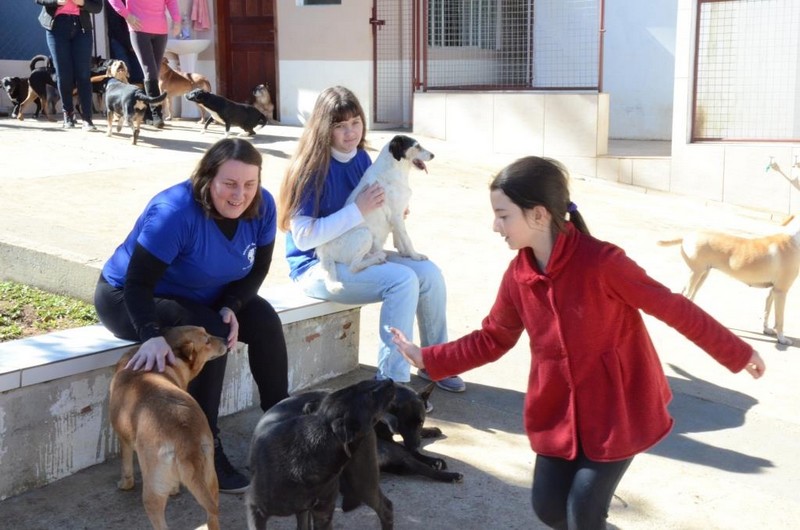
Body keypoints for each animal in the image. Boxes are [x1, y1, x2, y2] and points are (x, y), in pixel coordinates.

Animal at [108, 326, 228, 530]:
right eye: (206, 339)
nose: (226, 340)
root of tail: (186, 440)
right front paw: (174, 489)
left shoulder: (124, 440)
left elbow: (126, 466)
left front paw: (125, 484)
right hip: (211, 479)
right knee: (212, 515)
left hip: (152, 493)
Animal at [246, 379, 396, 530]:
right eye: (371, 395)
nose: (390, 380)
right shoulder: (255, 511)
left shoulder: (323, 514)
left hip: (362, 480)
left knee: (386, 508)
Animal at [316, 134, 434, 292]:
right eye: (417, 146)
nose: (433, 155)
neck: (395, 169)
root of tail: (323, 251)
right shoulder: (396, 215)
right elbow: (407, 239)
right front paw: (415, 256)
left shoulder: (399, 216)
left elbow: (399, 237)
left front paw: (404, 252)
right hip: (364, 234)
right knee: (353, 267)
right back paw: (377, 258)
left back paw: (376, 255)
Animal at [658, 214, 800, 345]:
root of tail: (687, 236)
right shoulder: (781, 291)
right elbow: (780, 319)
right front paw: (782, 339)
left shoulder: (773, 290)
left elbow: (767, 311)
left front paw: (766, 329)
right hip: (696, 274)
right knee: (686, 294)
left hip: (703, 275)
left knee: (690, 295)